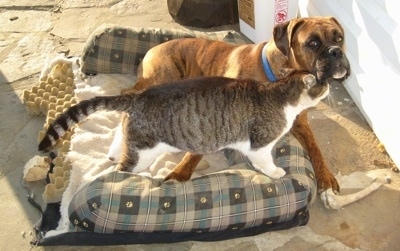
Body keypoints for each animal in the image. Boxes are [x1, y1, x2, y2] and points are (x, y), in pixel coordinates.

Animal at [39, 71, 330, 179]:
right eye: (321, 80)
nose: (329, 85)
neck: (279, 94)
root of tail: (138, 97)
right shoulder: (259, 144)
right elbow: (266, 162)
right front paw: (277, 172)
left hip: (131, 137)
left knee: (118, 141)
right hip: (143, 153)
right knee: (123, 169)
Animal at [122, 15, 350, 193]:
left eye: (340, 38)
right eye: (312, 43)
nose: (336, 51)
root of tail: (153, 48)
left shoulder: (301, 123)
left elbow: (315, 148)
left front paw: (326, 178)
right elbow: (195, 151)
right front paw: (180, 174)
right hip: (164, 77)